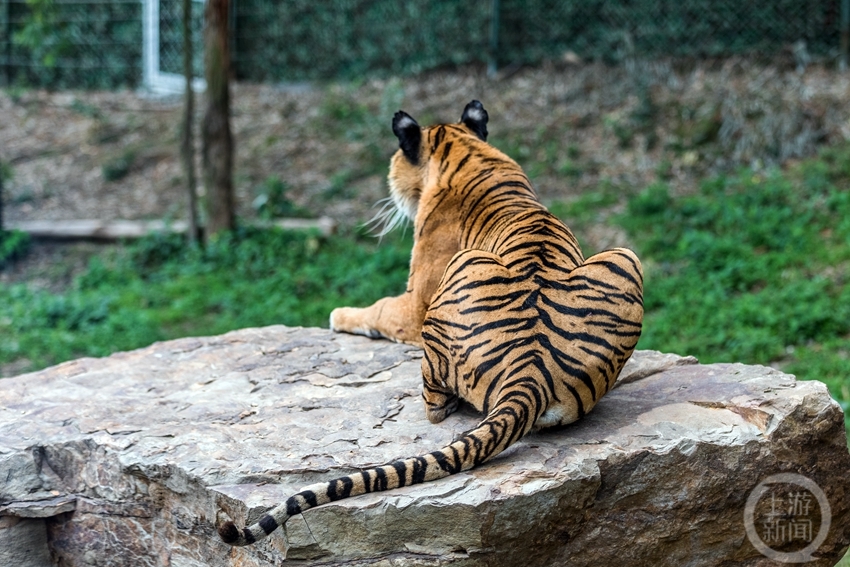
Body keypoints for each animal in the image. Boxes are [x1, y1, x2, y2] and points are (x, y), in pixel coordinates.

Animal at [219, 100, 644, 548]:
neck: (466, 151)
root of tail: (530, 376)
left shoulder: (415, 303)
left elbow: (377, 310)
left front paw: (337, 314)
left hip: (468, 273)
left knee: (436, 407)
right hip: (625, 257)